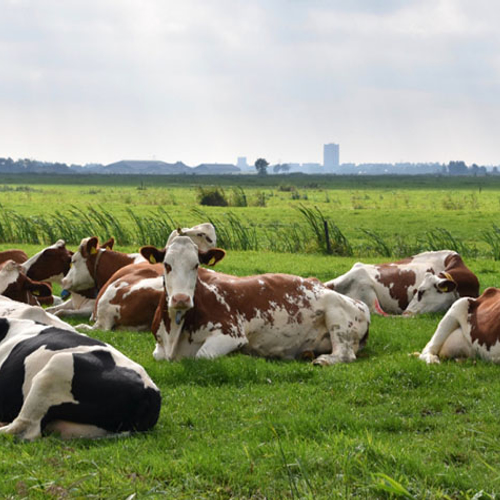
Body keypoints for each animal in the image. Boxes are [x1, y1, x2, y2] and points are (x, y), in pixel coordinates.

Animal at [139, 236, 370, 366]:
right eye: (166, 265)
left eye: (196, 265)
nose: (181, 299)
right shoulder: (159, 348)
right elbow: (157, 356)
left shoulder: (230, 334)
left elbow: (202, 355)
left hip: (337, 314)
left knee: (344, 354)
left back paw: (322, 360)